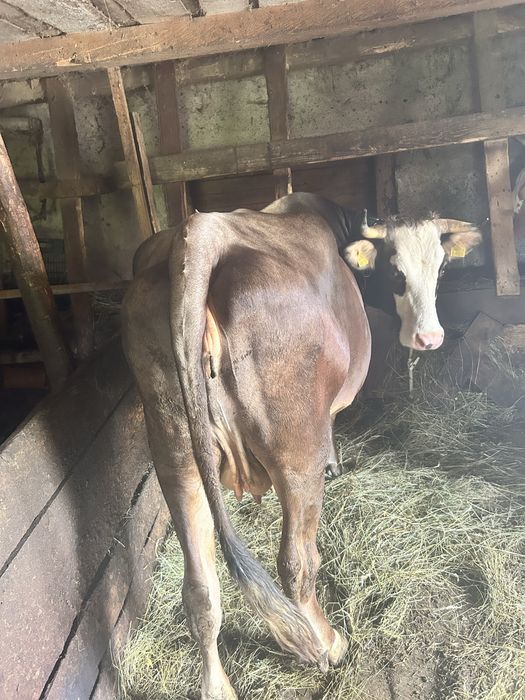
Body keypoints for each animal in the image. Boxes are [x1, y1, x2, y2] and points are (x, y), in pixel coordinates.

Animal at [121, 193, 481, 699]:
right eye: (396, 270)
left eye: (442, 266)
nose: (429, 338)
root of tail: (203, 232)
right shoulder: (322, 419)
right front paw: (336, 463)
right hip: (295, 454)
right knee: (297, 563)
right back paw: (328, 642)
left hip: (176, 456)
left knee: (201, 589)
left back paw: (217, 685)